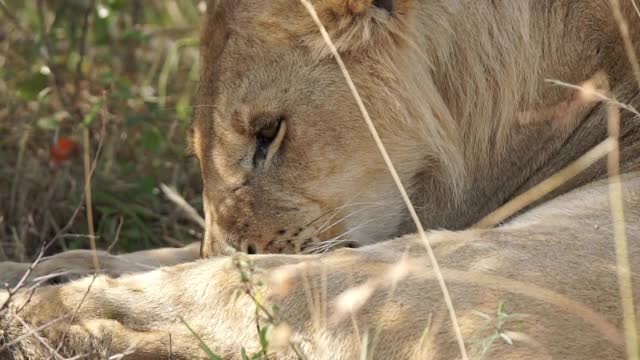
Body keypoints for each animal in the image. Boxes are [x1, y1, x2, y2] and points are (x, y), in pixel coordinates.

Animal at [1, 0, 640, 358]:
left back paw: (39, 315)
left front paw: (35, 286)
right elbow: (150, 254)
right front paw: (34, 265)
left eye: (268, 133)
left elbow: (192, 273)